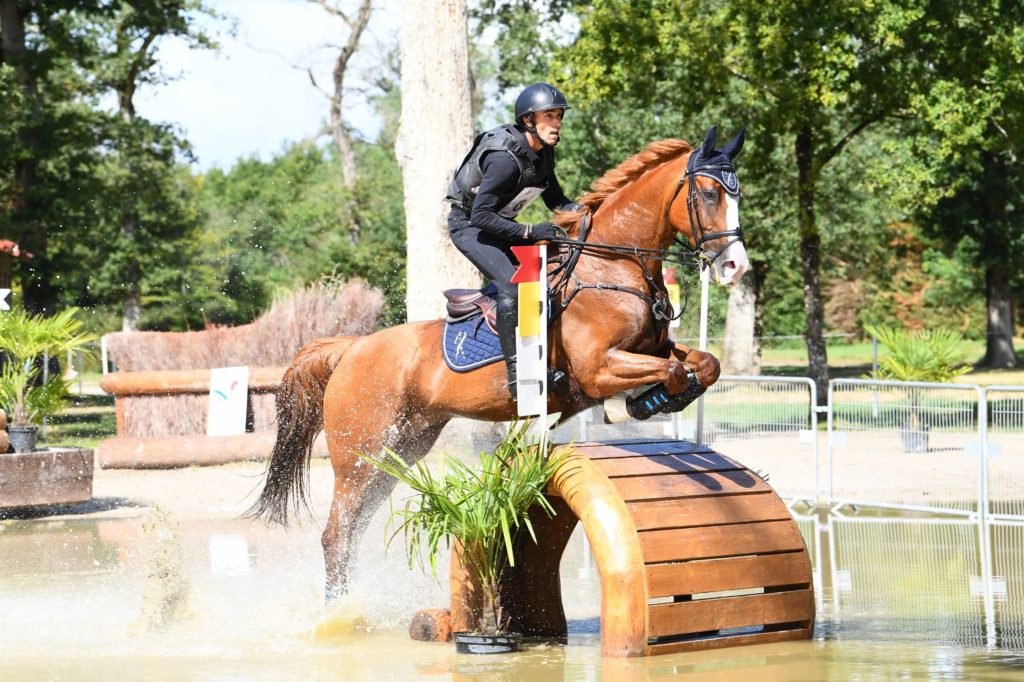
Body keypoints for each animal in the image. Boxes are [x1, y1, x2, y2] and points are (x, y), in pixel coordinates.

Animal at [243, 124, 749, 598]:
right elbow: (674, 371)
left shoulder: (650, 349)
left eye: (736, 192)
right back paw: (342, 613)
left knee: (353, 532)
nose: (735, 267)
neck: (611, 265)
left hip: (402, 448)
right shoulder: (598, 368)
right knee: (336, 535)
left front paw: (656, 402)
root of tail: (350, 349)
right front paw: (641, 404)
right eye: (708, 194)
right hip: (360, 456)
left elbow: (704, 364)